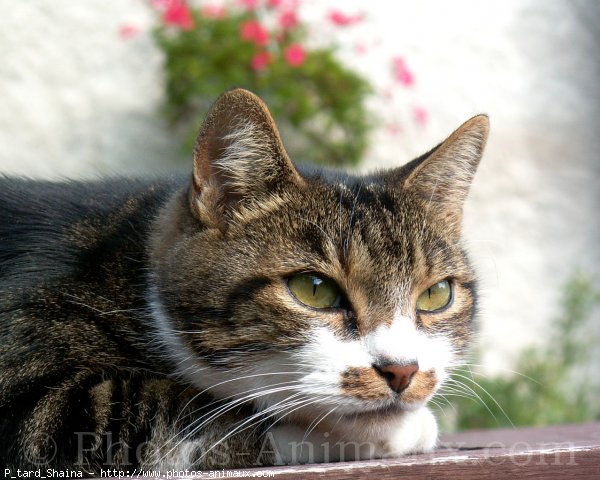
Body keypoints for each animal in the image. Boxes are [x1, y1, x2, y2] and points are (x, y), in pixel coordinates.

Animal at [0, 88, 488, 474]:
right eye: (314, 289)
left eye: (436, 294)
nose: (403, 370)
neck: (130, 282)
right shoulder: (32, 393)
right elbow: (172, 407)